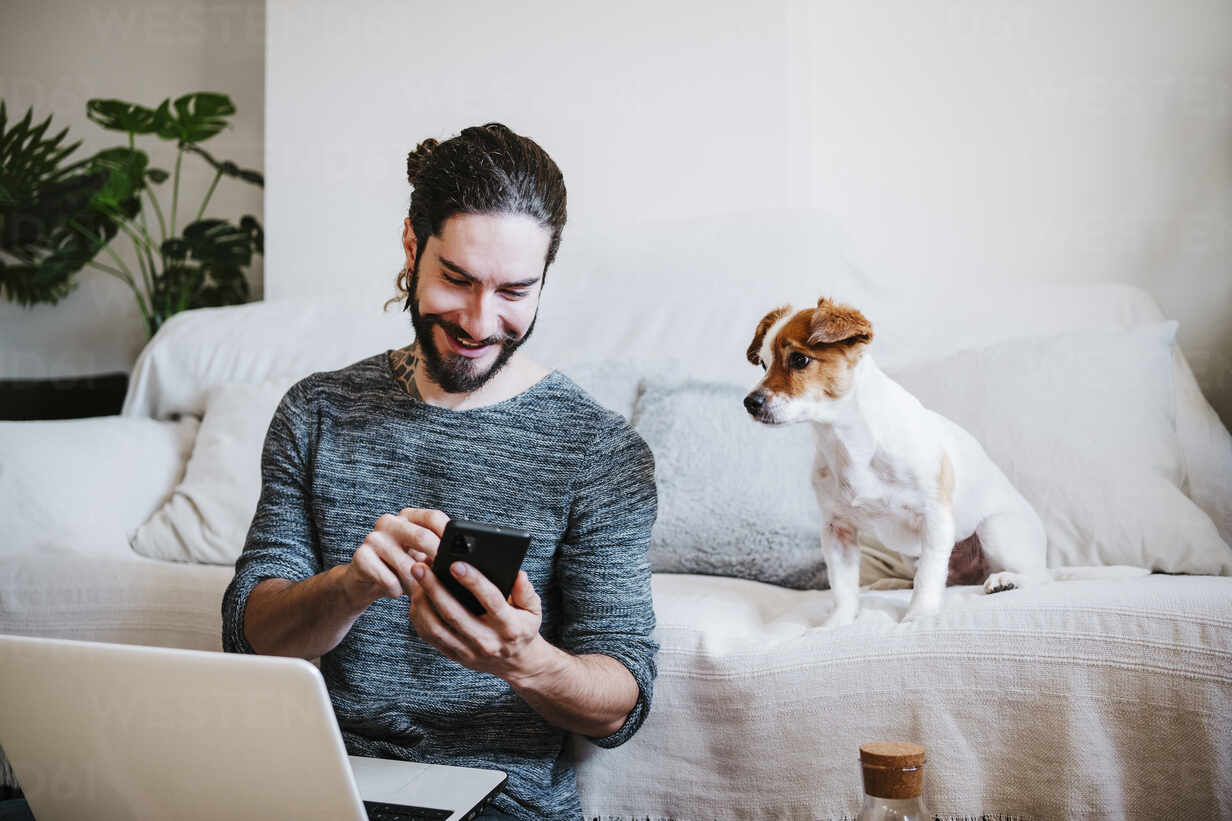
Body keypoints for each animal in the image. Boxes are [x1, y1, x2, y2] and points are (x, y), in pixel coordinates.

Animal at [744, 297, 1148, 623]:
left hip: (996, 530)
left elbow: (927, 582)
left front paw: (918, 617)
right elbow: (843, 588)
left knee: (1039, 576)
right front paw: (837, 625)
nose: (750, 402)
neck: (848, 442)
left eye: (799, 359)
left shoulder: (935, 517)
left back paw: (1007, 580)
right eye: (762, 363)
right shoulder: (837, 530)